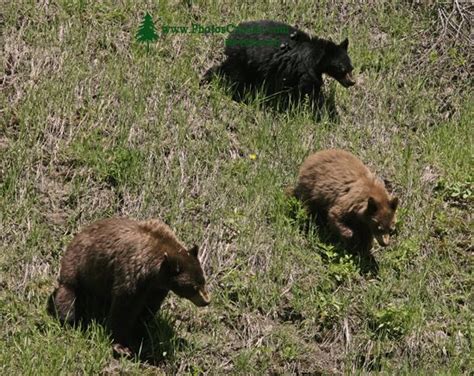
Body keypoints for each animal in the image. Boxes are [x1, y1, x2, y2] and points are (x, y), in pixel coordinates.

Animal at [47, 217, 209, 356]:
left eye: (203, 281)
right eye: (194, 287)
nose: (206, 301)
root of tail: (76, 236)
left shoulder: (156, 288)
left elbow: (148, 308)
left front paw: (142, 333)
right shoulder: (132, 274)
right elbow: (124, 308)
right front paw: (122, 346)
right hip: (78, 268)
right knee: (68, 294)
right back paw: (68, 320)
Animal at [201, 20, 356, 114]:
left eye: (351, 68)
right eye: (342, 68)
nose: (352, 82)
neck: (317, 58)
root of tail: (231, 37)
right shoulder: (304, 70)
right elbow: (306, 90)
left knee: (224, 70)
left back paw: (205, 79)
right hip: (244, 60)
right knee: (236, 78)